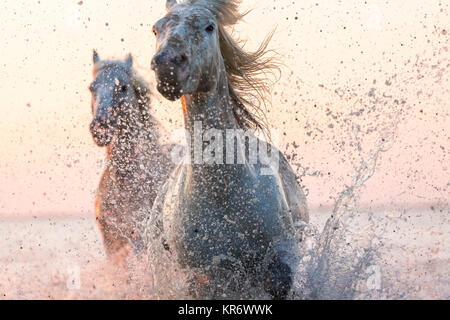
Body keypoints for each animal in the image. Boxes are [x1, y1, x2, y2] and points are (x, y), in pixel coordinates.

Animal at [148, 0, 310, 300]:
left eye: (209, 27)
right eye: (156, 28)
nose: (168, 67)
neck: (224, 193)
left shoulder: (279, 260)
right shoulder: (204, 277)